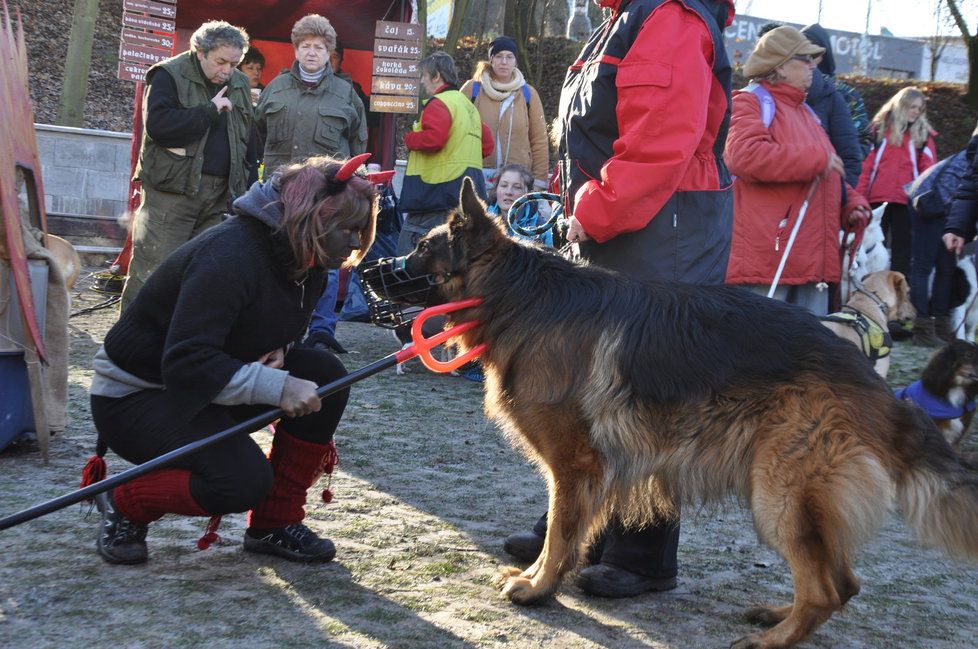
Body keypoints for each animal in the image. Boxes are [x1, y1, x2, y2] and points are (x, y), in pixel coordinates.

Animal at [364, 178, 976, 648]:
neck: (517, 295)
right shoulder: (588, 473)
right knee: (843, 581)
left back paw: (773, 639)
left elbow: (560, 531)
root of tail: (870, 380)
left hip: (779, 494)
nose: (365, 272)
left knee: (827, 588)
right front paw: (542, 578)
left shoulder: (574, 466)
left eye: (421, 249)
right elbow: (567, 533)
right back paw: (779, 615)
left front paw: (538, 589)